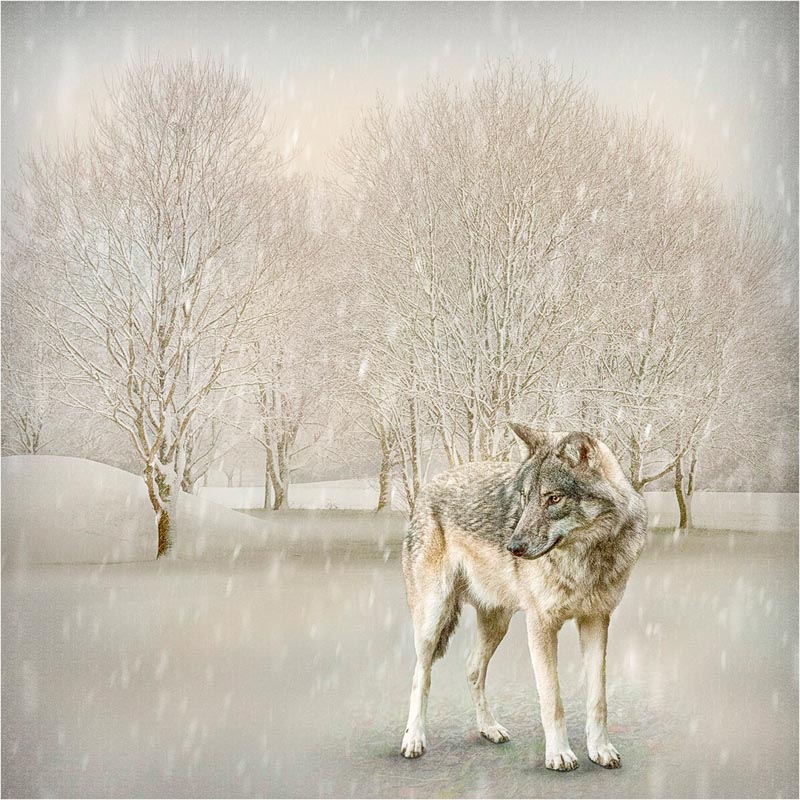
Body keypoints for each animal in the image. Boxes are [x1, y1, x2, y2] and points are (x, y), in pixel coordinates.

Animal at [400, 423, 647, 771]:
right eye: (525, 498)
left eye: (553, 498)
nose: (512, 547)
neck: (584, 559)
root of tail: (428, 486)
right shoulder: (541, 624)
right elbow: (552, 699)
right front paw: (559, 754)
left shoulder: (596, 620)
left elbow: (598, 698)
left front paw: (600, 750)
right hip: (432, 620)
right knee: (420, 676)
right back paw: (413, 740)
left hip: (497, 623)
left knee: (472, 668)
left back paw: (489, 728)